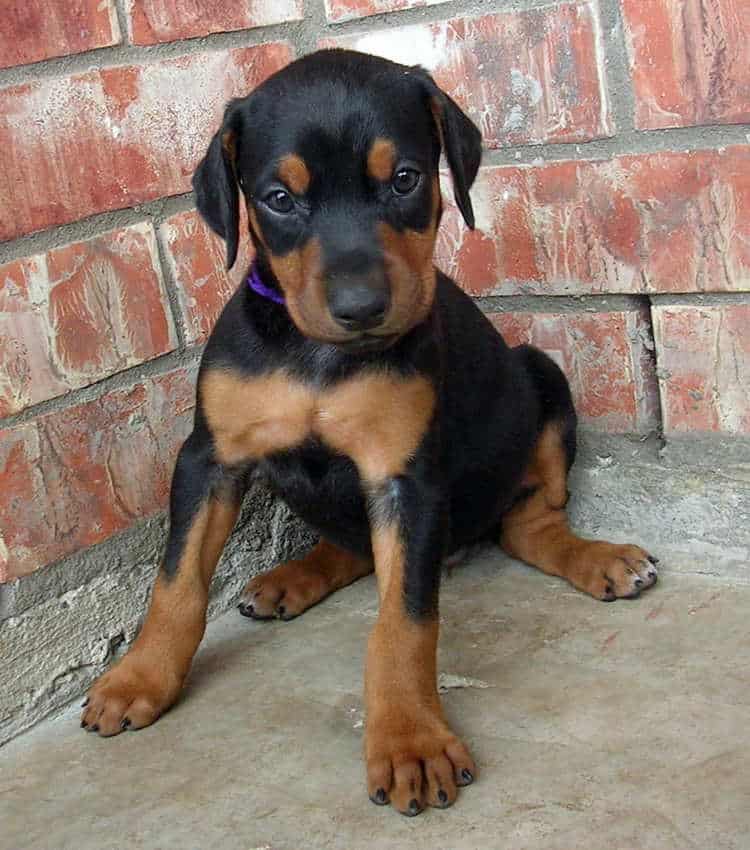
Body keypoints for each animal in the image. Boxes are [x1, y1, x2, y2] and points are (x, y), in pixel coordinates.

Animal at [82, 48, 656, 816]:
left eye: (405, 179)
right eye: (279, 198)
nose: (361, 308)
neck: (320, 356)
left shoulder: (405, 479)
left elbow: (402, 623)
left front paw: (410, 739)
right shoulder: (209, 458)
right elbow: (176, 580)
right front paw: (140, 677)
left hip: (542, 376)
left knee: (529, 525)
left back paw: (598, 559)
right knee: (353, 546)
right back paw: (291, 578)